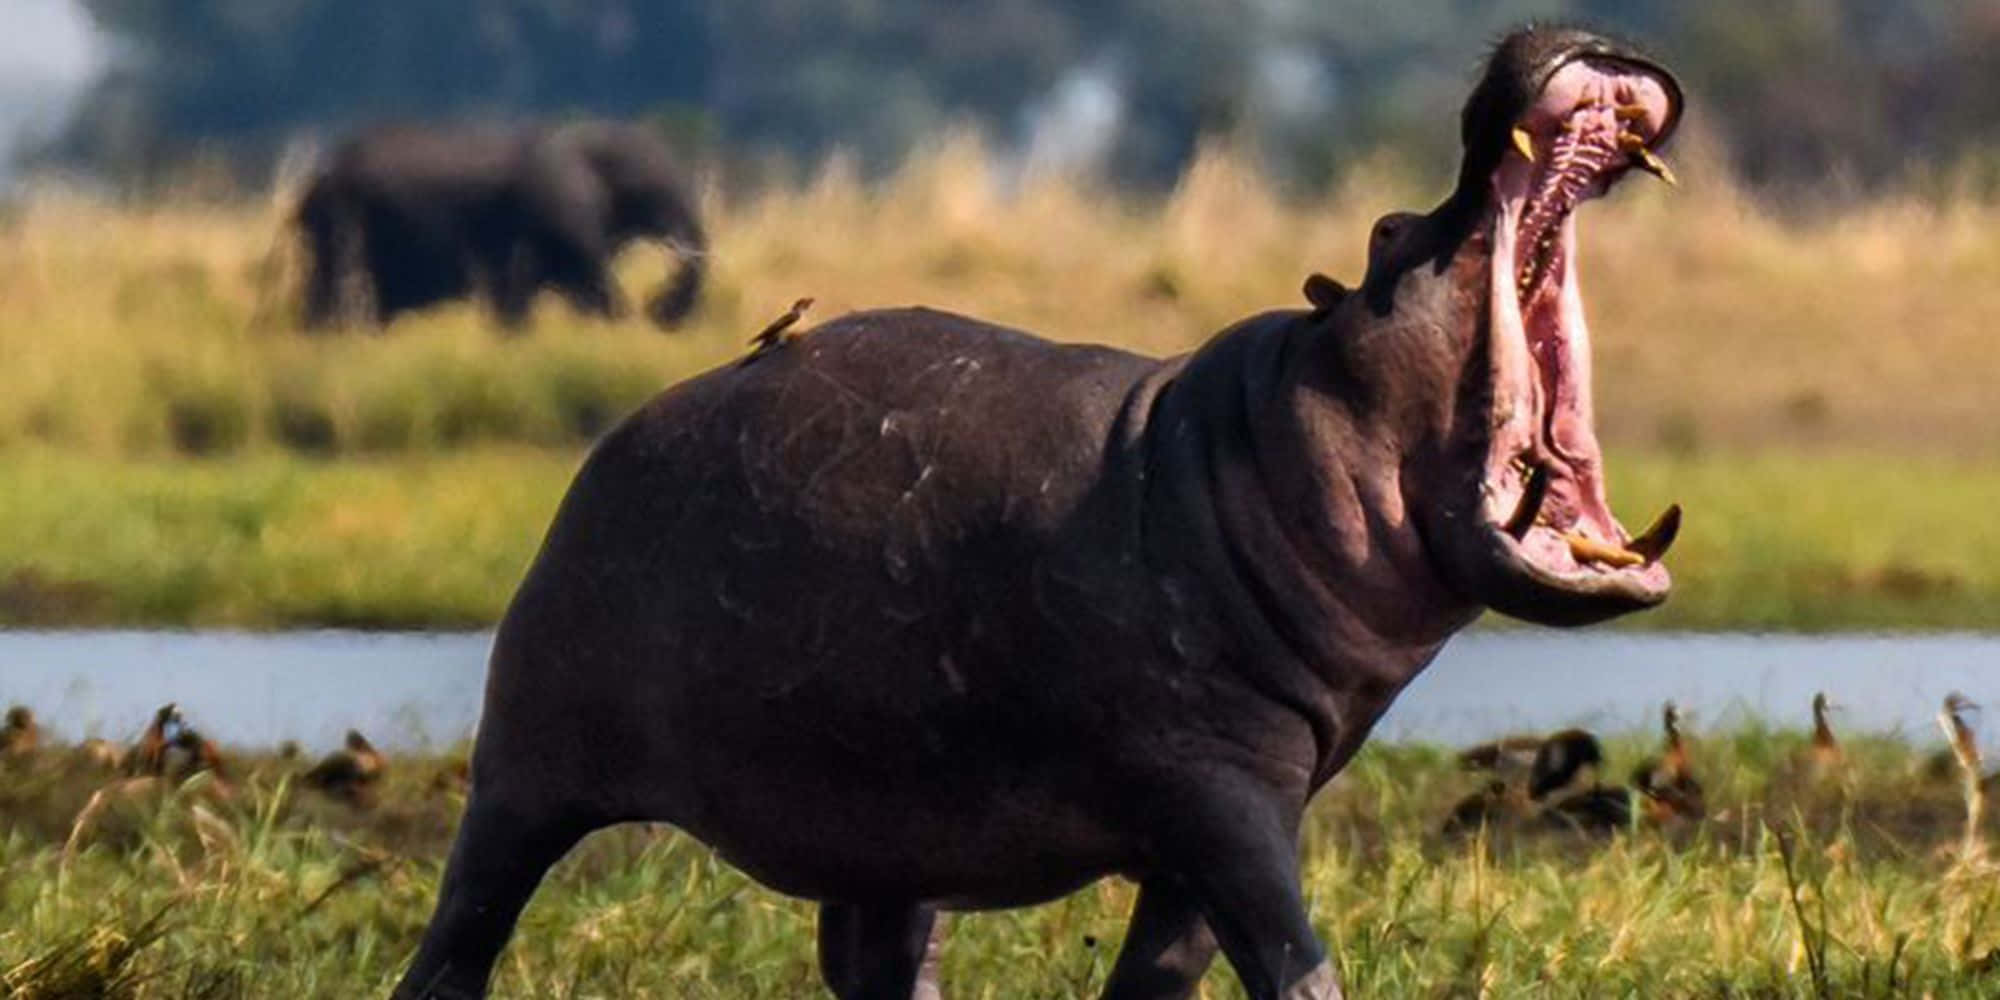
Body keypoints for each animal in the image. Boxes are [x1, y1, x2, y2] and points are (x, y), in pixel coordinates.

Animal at [295, 120, 706, 331]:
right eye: (645, 189)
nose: (658, 304)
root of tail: (317, 181)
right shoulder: (564, 215)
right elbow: (595, 290)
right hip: (346, 227)